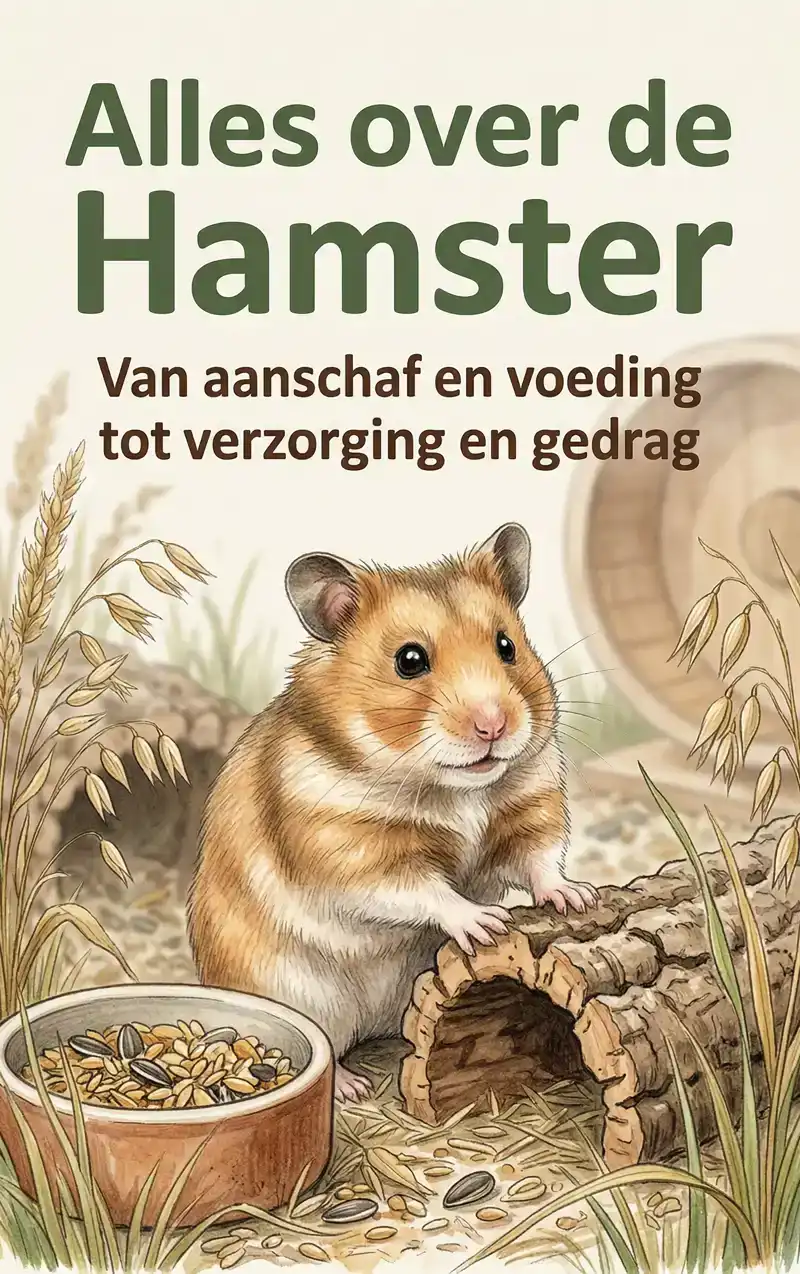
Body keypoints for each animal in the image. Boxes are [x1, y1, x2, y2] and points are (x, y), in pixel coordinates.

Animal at [187, 523, 597, 1102]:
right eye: (409, 660)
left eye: (506, 646)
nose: (494, 726)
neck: (456, 790)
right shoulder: (349, 850)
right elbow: (422, 890)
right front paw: (485, 924)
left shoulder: (531, 803)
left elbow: (540, 858)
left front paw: (576, 897)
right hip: (297, 992)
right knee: (324, 1046)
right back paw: (352, 1088)